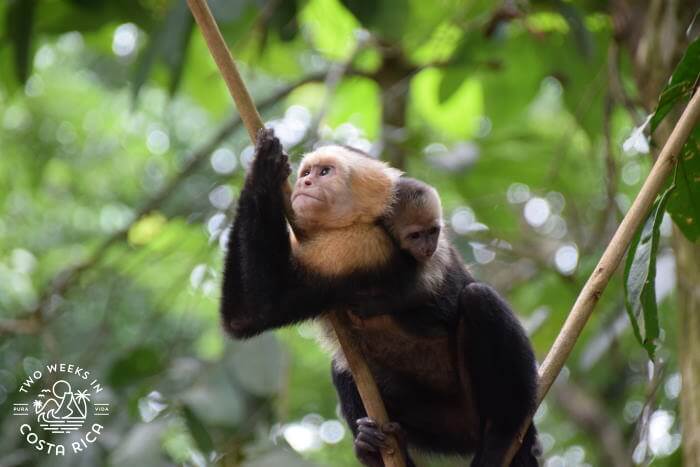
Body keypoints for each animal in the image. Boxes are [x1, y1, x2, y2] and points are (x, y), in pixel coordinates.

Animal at [221, 128, 540, 467]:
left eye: (325, 172)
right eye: (307, 173)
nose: (304, 183)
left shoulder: (356, 247)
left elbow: (258, 306)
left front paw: (264, 168)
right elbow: (247, 315)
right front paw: (263, 166)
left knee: (479, 299)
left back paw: (503, 434)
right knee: (343, 365)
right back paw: (377, 449)